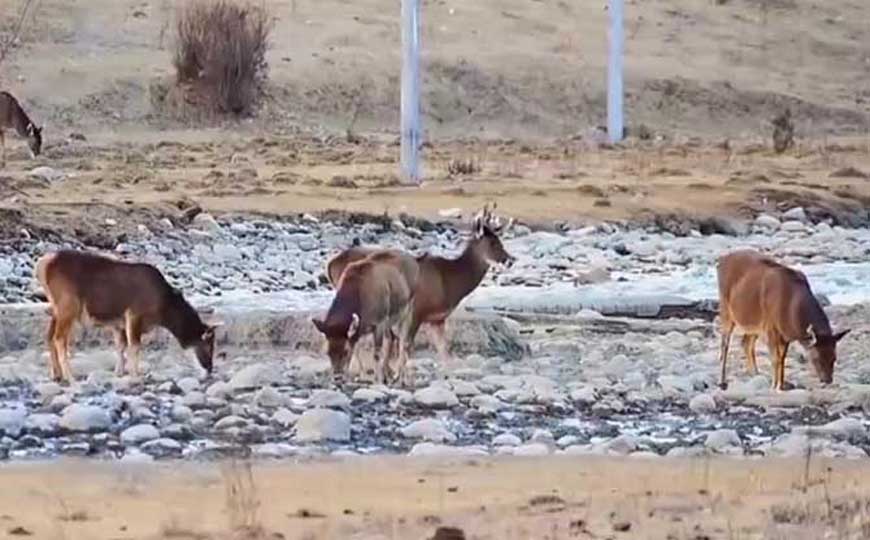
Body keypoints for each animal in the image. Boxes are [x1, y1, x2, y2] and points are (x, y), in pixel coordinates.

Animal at [35, 250, 220, 383]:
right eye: (208, 346)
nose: (209, 370)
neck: (164, 311)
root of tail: (44, 264)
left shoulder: (118, 324)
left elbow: (120, 346)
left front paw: (119, 372)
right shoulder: (134, 315)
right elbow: (134, 347)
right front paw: (135, 375)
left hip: (55, 309)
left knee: (49, 337)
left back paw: (56, 374)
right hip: (68, 306)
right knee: (60, 339)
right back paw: (70, 377)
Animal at [313, 250, 417, 384]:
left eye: (345, 351)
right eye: (328, 352)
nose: (337, 378)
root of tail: (414, 262)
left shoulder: (379, 323)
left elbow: (376, 354)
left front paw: (377, 380)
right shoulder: (360, 330)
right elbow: (357, 349)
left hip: (408, 309)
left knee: (403, 341)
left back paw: (400, 377)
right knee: (391, 338)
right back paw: (389, 375)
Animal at [324, 204, 515, 381]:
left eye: (500, 241)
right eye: (492, 243)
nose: (510, 260)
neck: (449, 281)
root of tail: (331, 264)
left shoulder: (436, 319)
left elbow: (443, 349)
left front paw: (448, 376)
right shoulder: (418, 310)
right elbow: (407, 345)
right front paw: (400, 376)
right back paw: (366, 373)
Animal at [717, 249, 850, 391]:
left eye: (834, 357)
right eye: (816, 358)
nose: (828, 380)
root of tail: (721, 261)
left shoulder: (784, 335)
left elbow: (782, 359)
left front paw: (780, 385)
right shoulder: (771, 328)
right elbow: (775, 359)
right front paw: (774, 386)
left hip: (754, 323)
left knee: (746, 343)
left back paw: (755, 374)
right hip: (725, 309)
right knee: (725, 344)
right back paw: (722, 381)